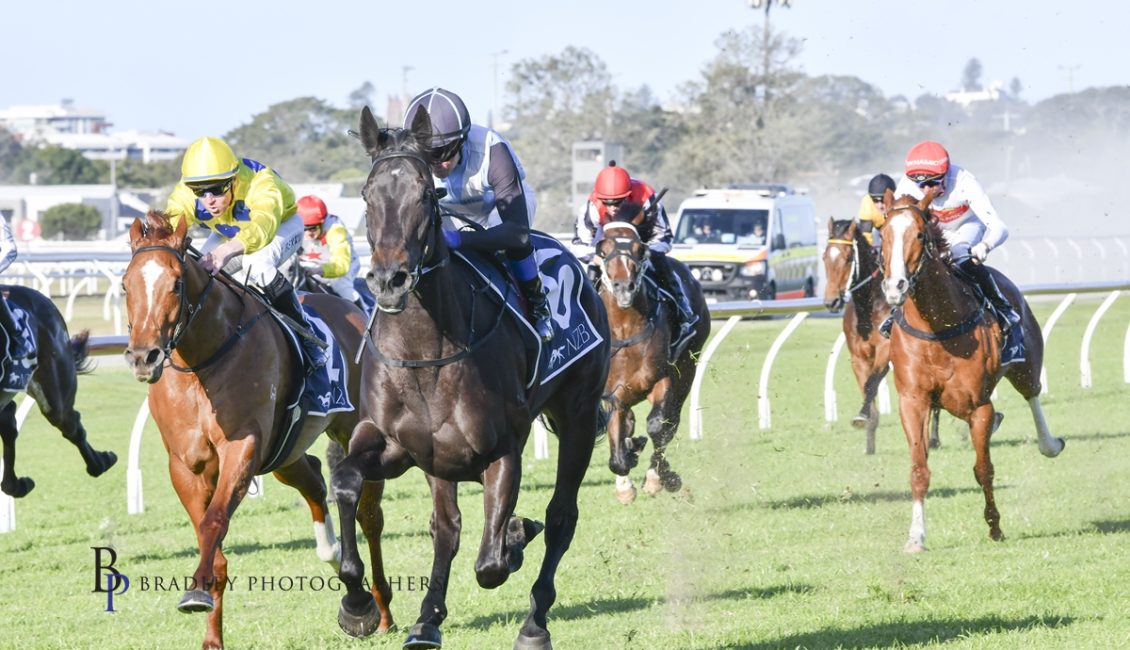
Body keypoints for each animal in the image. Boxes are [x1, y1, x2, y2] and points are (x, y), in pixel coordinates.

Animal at [122, 211, 392, 650]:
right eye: (126, 284)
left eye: (176, 283)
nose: (143, 356)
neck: (202, 360)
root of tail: (353, 313)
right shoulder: (185, 465)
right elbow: (209, 539)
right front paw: (210, 634)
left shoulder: (243, 447)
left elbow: (214, 522)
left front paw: (195, 593)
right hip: (285, 452)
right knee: (314, 480)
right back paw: (337, 561)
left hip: (351, 429)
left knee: (368, 514)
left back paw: (376, 608)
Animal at [330, 106, 611, 650]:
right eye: (368, 196)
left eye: (425, 193)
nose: (388, 280)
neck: (425, 349)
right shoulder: (397, 445)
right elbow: (348, 484)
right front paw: (357, 603)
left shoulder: (502, 450)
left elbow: (492, 563)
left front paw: (515, 539)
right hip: (440, 461)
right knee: (447, 527)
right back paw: (426, 620)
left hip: (580, 414)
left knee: (560, 516)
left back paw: (534, 620)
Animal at [594, 216, 710, 504]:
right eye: (604, 249)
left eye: (639, 249)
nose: (624, 287)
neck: (625, 329)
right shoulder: (613, 394)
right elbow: (617, 449)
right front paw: (625, 481)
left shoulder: (663, 377)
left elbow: (659, 426)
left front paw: (661, 478)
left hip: (687, 369)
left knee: (671, 420)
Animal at [822, 218, 941, 454]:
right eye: (824, 257)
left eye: (848, 258)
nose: (831, 301)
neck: (868, 309)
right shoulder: (858, 357)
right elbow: (867, 387)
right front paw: (869, 438)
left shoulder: (885, 352)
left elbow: (871, 384)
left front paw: (861, 417)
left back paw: (933, 438)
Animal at [877, 190, 1064, 553]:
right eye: (883, 234)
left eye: (918, 235)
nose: (895, 287)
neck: (937, 326)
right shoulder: (913, 401)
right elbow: (919, 470)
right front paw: (915, 537)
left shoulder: (978, 404)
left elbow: (983, 468)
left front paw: (995, 527)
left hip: (1026, 365)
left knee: (1032, 395)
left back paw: (1049, 444)